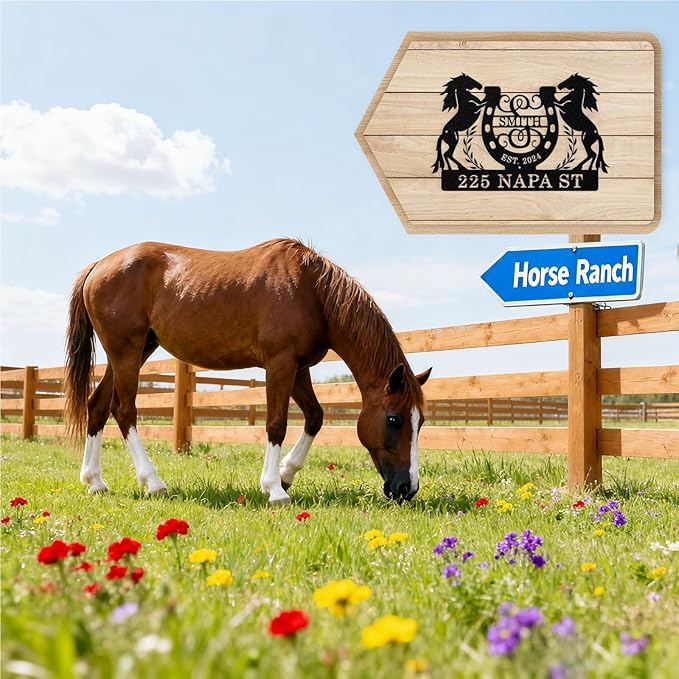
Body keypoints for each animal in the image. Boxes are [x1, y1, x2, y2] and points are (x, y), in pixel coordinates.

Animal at [64, 239, 431, 505]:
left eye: (421, 421)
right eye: (394, 419)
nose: (407, 488)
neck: (311, 291)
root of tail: (98, 266)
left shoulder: (298, 368)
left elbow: (315, 417)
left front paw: (286, 474)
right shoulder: (279, 363)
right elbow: (276, 424)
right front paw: (274, 489)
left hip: (133, 352)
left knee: (98, 406)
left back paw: (95, 482)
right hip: (126, 352)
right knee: (124, 410)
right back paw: (153, 482)